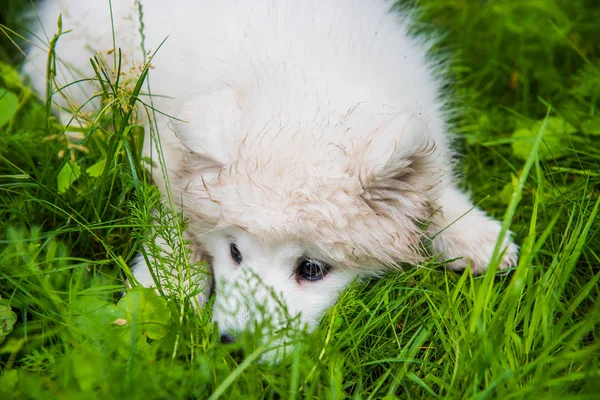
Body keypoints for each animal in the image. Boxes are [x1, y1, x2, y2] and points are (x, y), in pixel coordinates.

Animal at [24, 0, 516, 354]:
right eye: (235, 252)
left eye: (312, 269)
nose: (235, 348)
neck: (305, 83)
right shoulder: (168, 154)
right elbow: (173, 226)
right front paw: (163, 295)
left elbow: (432, 188)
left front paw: (476, 236)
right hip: (83, 59)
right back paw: (77, 138)